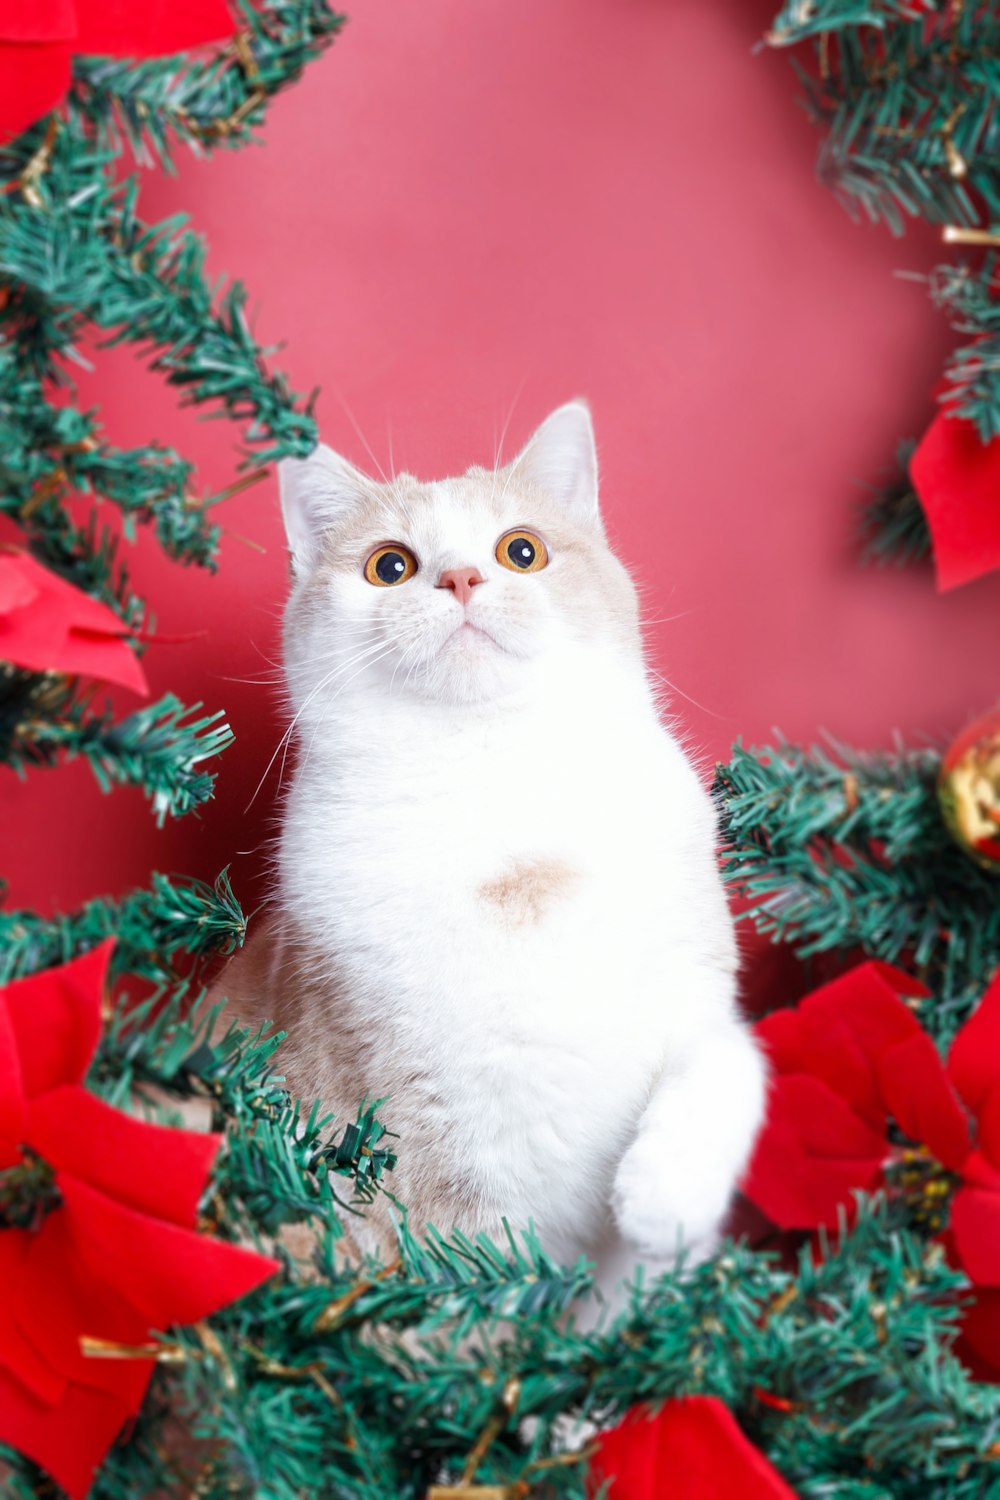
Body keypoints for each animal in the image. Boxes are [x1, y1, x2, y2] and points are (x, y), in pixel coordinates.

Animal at [215, 405, 767, 1296]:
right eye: (391, 565)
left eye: (522, 551)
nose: (464, 579)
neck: (501, 786)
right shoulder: (411, 1128)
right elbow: (472, 1270)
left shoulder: (693, 982)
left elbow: (731, 1056)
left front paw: (668, 1197)